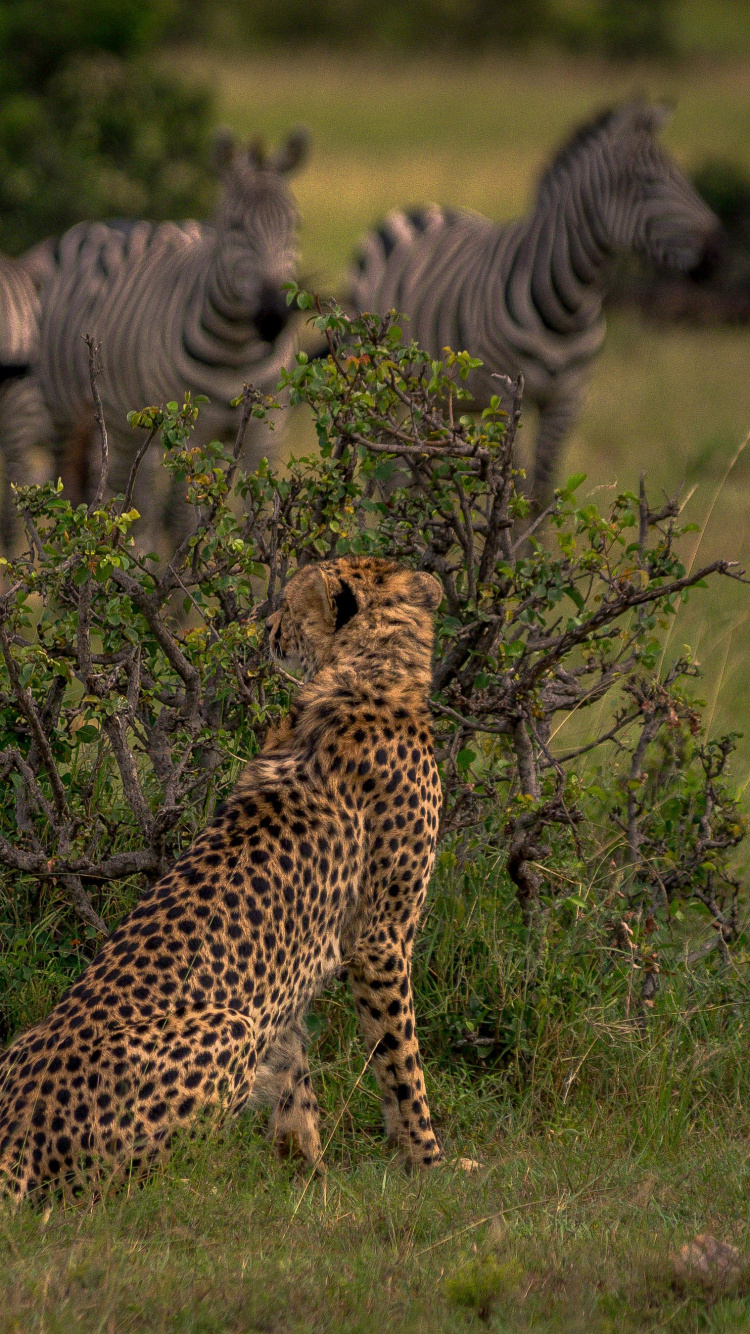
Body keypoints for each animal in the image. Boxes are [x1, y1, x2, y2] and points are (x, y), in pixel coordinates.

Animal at [1, 128, 309, 547]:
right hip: (70, 412)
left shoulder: (266, 431)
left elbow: (260, 512)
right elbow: (182, 521)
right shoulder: (189, 428)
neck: (235, 350)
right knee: (91, 493)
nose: (274, 317)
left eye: (294, 225)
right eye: (235, 227)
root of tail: (96, 226)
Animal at [350, 102, 720, 513]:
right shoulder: (512, 397)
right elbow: (515, 488)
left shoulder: (567, 401)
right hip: (379, 381)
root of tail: (414, 208)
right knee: (383, 464)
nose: (716, 253)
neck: (570, 306)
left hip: (435, 395)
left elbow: (541, 492)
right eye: (645, 182)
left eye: (682, 175)